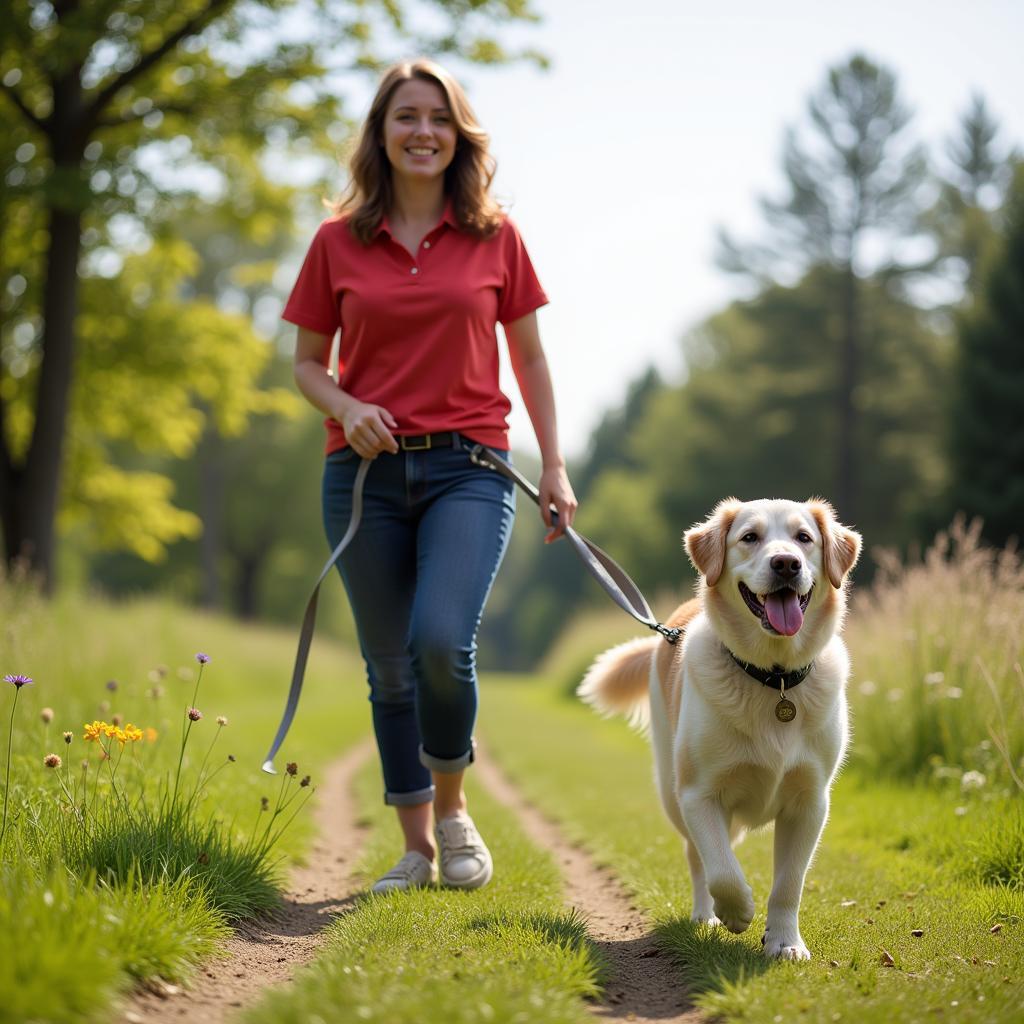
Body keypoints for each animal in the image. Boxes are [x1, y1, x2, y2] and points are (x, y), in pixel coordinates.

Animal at [581, 495, 860, 958]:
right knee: (697, 856)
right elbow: (721, 870)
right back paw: (705, 915)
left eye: (804, 538)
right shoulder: (699, 794)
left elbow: (789, 884)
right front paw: (737, 910)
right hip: (671, 790)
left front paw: (785, 942)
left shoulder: (810, 802)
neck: (773, 678)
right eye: (750, 537)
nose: (786, 563)